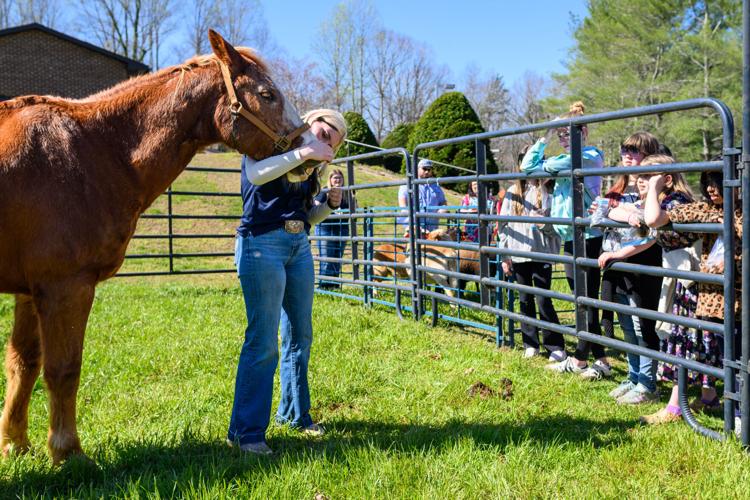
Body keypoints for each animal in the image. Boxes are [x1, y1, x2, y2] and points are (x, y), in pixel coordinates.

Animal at [0, 29, 309, 464]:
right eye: (268, 94)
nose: (307, 148)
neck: (90, 151)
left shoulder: (30, 291)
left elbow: (23, 364)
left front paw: (15, 443)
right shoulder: (65, 288)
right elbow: (64, 369)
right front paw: (68, 452)